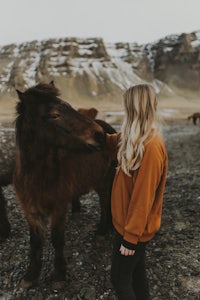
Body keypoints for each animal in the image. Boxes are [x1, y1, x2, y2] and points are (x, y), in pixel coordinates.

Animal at [12, 82, 115, 288]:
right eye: (54, 115)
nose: (99, 135)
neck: (37, 177)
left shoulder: (59, 207)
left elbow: (57, 239)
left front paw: (59, 275)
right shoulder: (30, 211)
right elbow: (35, 242)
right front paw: (31, 275)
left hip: (104, 182)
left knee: (104, 203)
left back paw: (101, 231)